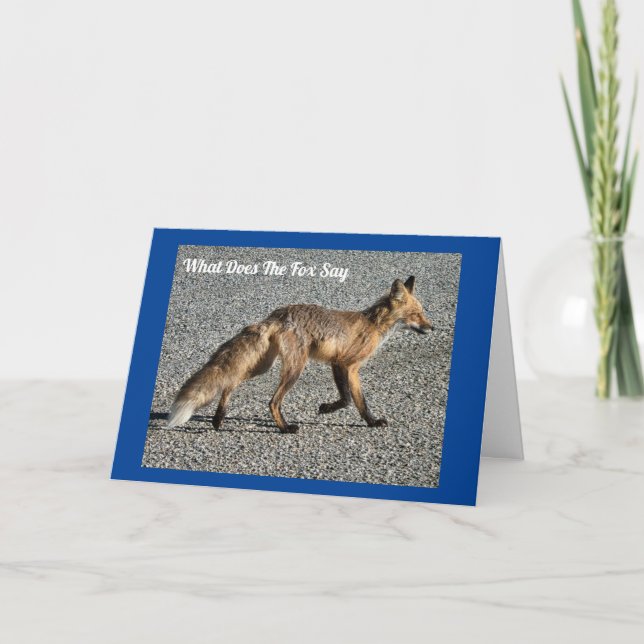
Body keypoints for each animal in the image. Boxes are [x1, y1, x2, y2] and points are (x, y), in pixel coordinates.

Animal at [166, 276, 432, 434]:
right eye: (417, 314)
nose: (432, 328)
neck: (374, 325)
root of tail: (278, 314)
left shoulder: (342, 366)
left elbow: (353, 400)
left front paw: (365, 420)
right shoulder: (346, 364)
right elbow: (352, 400)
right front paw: (339, 412)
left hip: (263, 365)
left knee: (229, 382)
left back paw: (218, 419)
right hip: (296, 367)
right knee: (272, 401)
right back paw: (284, 428)